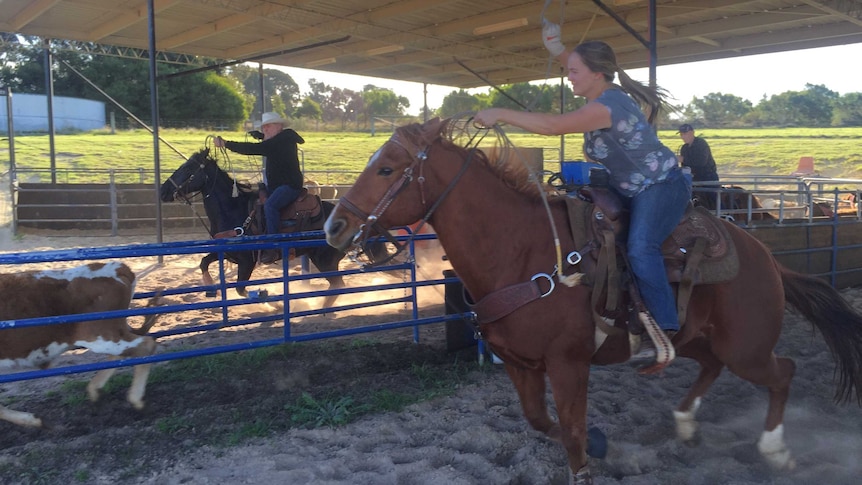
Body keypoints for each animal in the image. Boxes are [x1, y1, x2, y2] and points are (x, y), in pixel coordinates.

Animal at [0, 262, 159, 426]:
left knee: (145, 346)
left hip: (100, 336)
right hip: (111, 335)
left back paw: (136, 399)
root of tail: (116, 267)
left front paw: (31, 420)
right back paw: (96, 390)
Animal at [159, 148, 388, 306]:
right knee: (336, 287)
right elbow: (204, 262)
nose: (163, 190)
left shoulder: (246, 261)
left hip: (325, 260)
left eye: (188, 169)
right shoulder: (226, 252)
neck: (234, 209)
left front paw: (272, 301)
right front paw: (210, 287)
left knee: (338, 286)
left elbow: (241, 290)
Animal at [324, 116, 862, 480]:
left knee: (783, 372)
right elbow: (542, 421)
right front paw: (604, 447)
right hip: (697, 338)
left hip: (746, 346)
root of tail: (765, 256)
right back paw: (686, 424)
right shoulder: (520, 363)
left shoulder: (568, 362)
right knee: (713, 366)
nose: (334, 226)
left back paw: (775, 451)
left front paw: (588, 458)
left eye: (386, 168)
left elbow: (572, 430)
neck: (522, 249)